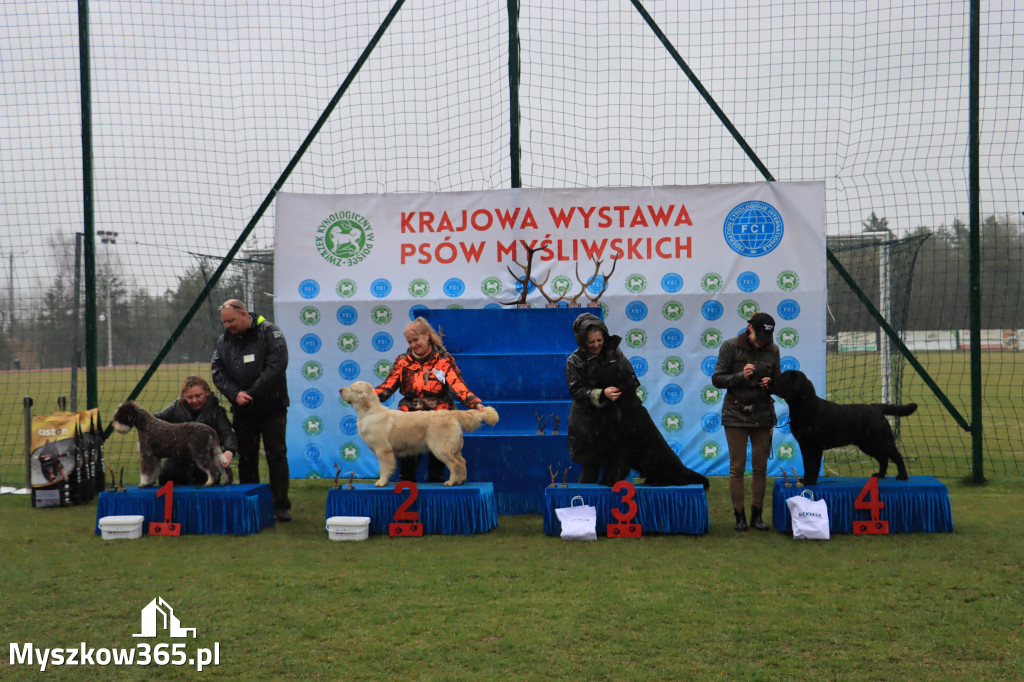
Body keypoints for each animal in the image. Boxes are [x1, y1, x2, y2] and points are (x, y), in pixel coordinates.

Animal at [339, 378, 499, 485]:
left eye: (351, 389)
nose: (340, 390)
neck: (369, 412)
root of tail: (451, 414)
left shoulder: (383, 450)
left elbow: (384, 468)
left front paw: (381, 482)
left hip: (440, 448)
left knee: (454, 464)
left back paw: (450, 482)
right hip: (454, 448)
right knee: (462, 461)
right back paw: (460, 481)